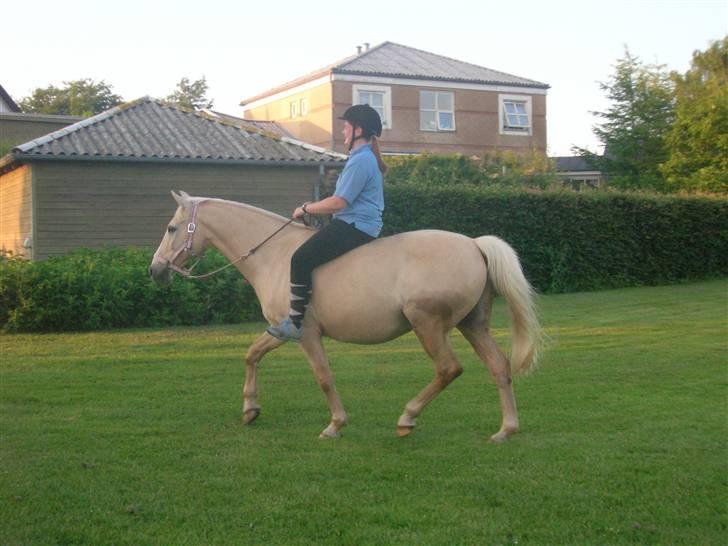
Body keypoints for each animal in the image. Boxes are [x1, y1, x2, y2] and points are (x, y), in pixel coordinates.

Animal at [149, 189, 540, 440]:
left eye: (171, 228)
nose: (156, 270)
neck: (274, 255)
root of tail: (474, 244)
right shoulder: (282, 329)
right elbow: (252, 355)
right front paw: (250, 409)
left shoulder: (306, 334)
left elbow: (323, 376)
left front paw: (335, 425)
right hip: (472, 324)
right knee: (498, 367)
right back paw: (506, 429)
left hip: (427, 324)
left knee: (448, 369)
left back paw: (407, 418)